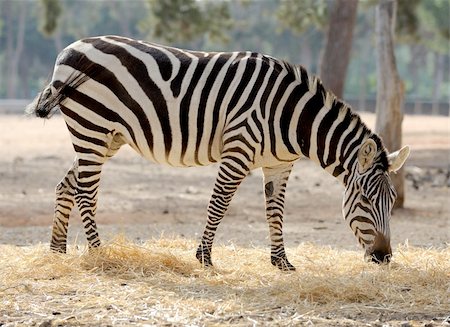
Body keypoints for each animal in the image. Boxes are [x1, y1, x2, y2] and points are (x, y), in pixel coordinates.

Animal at [26, 36, 410, 272]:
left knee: (67, 185)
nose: (384, 258)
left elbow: (275, 212)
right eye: (364, 199)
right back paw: (99, 252)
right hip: (92, 128)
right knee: (86, 192)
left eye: (392, 201)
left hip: (105, 137)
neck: (291, 117)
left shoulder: (279, 166)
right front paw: (205, 258)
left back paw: (57, 251)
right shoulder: (238, 151)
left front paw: (281, 263)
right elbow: (219, 204)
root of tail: (69, 49)